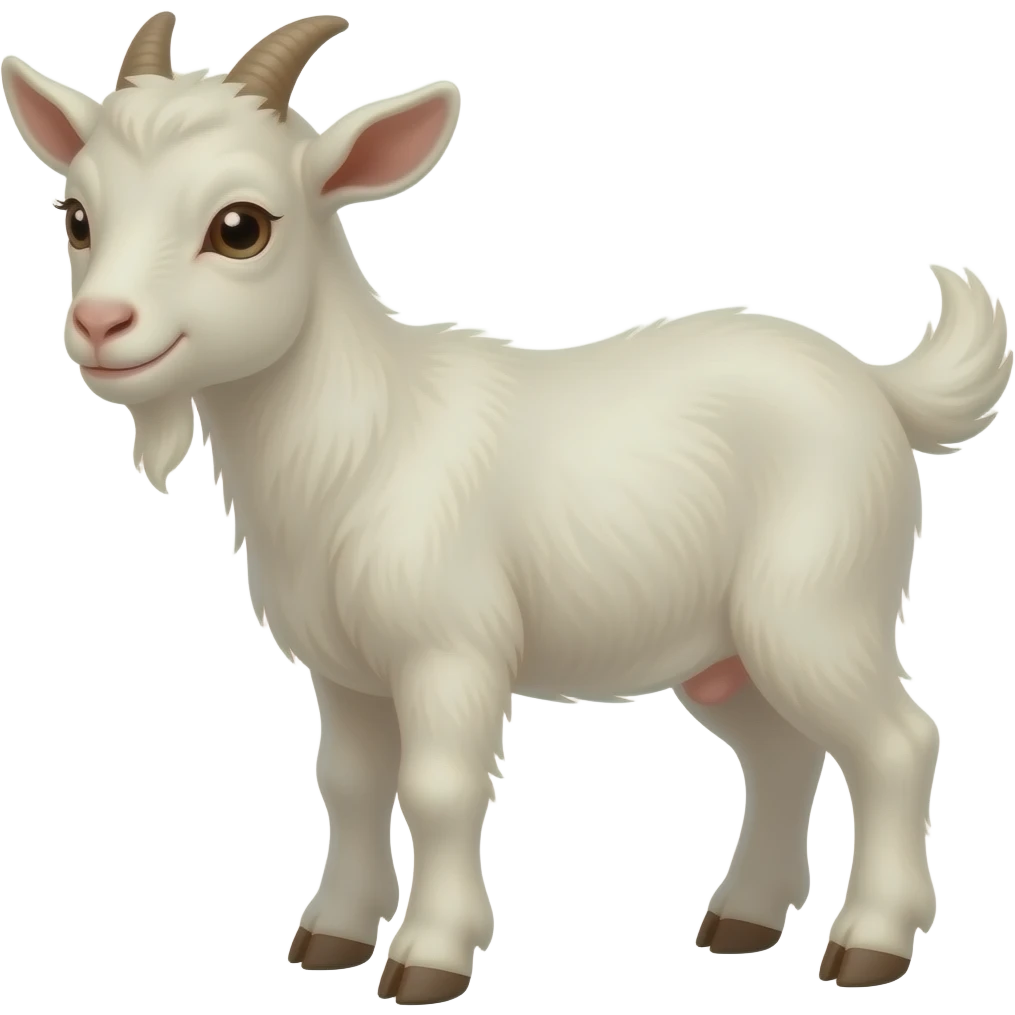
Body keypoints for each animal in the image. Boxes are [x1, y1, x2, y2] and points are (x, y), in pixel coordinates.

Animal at [3, 11, 1009, 1003]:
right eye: (76, 216)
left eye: (240, 226)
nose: (100, 325)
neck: (363, 439)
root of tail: (878, 387)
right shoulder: (344, 671)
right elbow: (350, 784)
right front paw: (331, 935)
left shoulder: (450, 648)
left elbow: (437, 787)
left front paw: (429, 958)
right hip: (725, 646)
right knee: (781, 752)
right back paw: (743, 920)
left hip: (816, 603)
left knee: (895, 742)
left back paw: (870, 942)